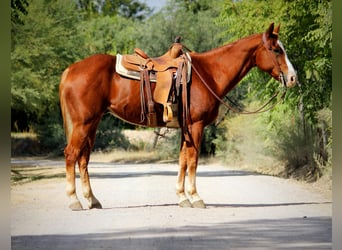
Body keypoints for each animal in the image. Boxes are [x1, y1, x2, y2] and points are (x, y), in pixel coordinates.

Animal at [59, 23, 296, 209]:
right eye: (276, 50)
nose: (293, 78)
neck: (209, 73)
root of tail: (70, 70)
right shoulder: (196, 125)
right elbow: (193, 160)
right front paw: (196, 197)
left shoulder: (186, 128)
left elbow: (182, 160)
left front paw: (182, 197)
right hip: (83, 123)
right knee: (72, 154)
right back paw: (74, 201)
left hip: (92, 123)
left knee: (83, 157)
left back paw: (92, 200)